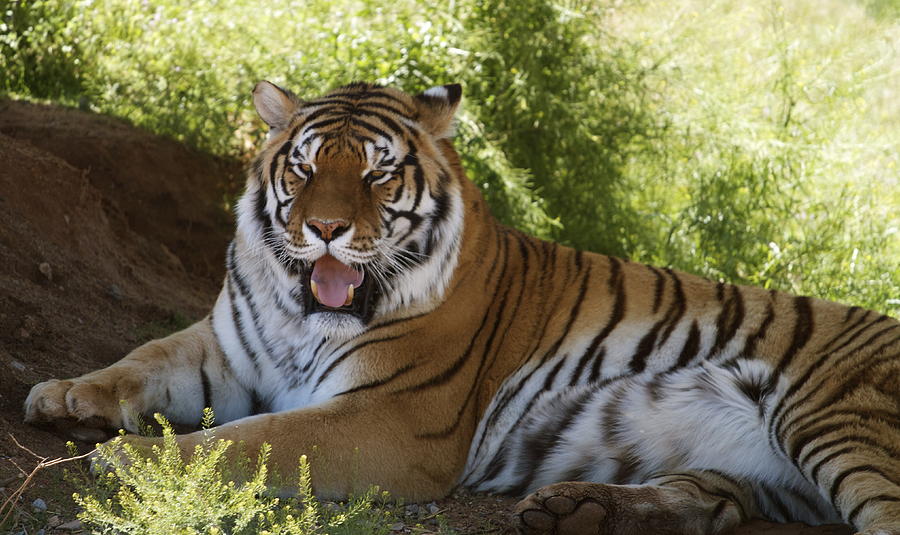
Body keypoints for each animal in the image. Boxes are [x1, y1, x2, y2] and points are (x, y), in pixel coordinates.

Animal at [21, 80, 900, 535]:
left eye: (376, 174)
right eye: (303, 168)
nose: (325, 229)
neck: (300, 311)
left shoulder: (387, 417)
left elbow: (253, 439)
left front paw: (131, 459)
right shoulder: (227, 347)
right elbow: (143, 358)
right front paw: (65, 396)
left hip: (835, 422)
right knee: (717, 500)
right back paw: (580, 509)